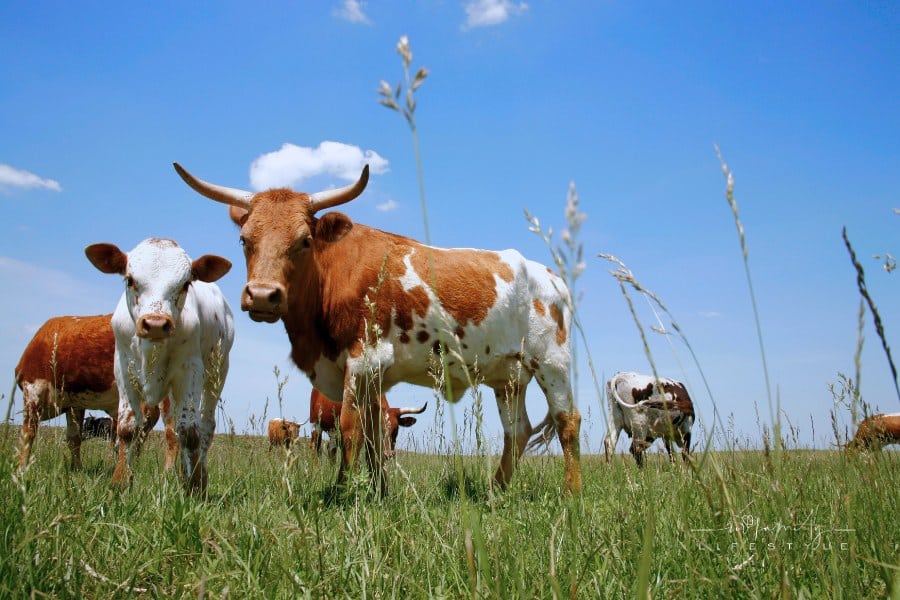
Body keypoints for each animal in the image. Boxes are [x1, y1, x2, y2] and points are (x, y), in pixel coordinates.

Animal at [14, 314, 175, 472]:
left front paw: (21, 470)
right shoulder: (74, 404)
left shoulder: (32, 389)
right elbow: (74, 438)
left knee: (170, 433)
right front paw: (77, 470)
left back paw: (168, 473)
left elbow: (28, 433)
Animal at [85, 237, 234, 495]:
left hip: (217, 374)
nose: (155, 324)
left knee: (205, 426)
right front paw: (121, 481)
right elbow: (127, 427)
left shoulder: (191, 369)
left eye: (185, 283)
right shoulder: (122, 367)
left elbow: (189, 430)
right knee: (172, 431)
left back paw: (199, 474)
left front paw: (195, 487)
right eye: (130, 279)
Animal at [173, 162, 582, 496]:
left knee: (567, 421)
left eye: (305, 240)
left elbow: (350, 429)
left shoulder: (366, 360)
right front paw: (378, 492)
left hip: (552, 363)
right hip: (508, 375)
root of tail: (549, 274)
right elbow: (371, 434)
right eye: (245, 240)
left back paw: (570, 495)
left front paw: (343, 493)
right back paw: (495, 492)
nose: (262, 295)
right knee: (518, 430)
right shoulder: (368, 375)